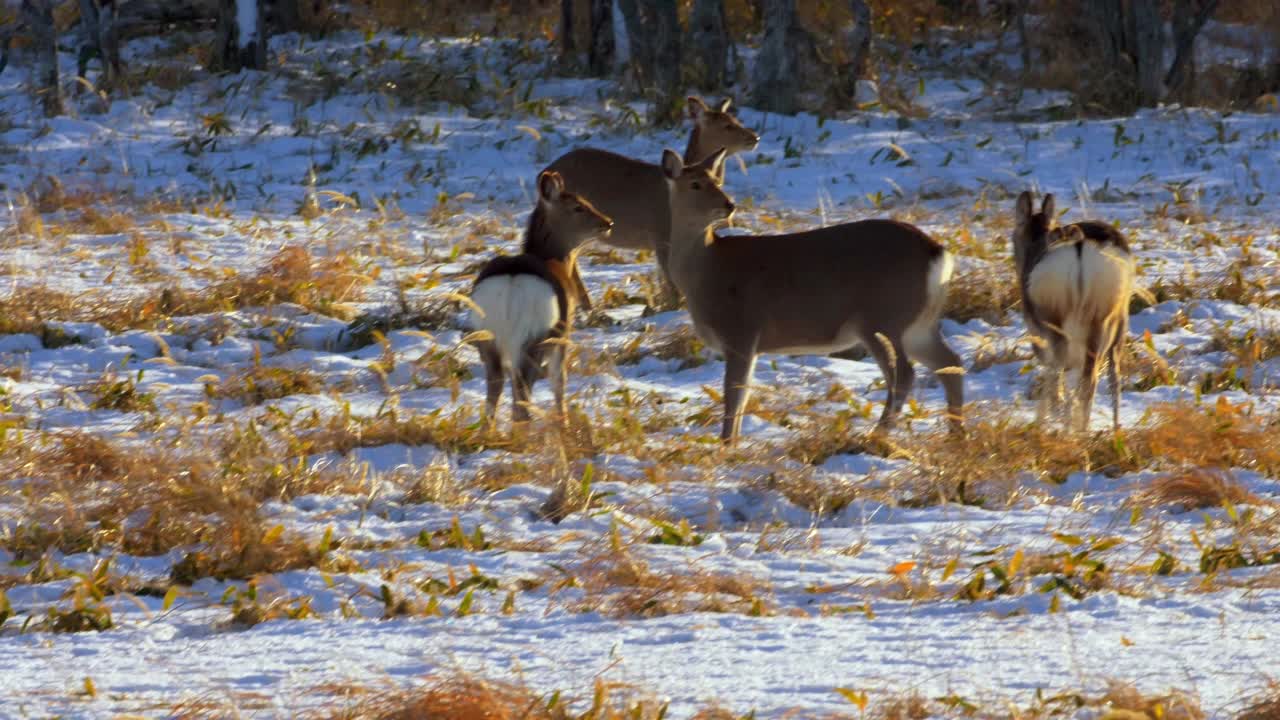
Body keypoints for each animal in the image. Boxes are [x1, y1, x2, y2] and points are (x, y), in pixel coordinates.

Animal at [471, 167, 614, 425]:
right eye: (578, 206)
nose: (607, 222)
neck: (559, 260)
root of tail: (512, 282)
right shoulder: (564, 333)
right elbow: (559, 381)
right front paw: (564, 422)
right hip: (536, 337)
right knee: (522, 395)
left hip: (486, 338)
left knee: (497, 389)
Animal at [542, 94, 757, 304]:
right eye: (727, 125)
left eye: (736, 120)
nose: (754, 137)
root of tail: (545, 171)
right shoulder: (661, 235)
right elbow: (672, 284)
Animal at [660, 148, 962, 440]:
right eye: (696, 183)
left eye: (718, 180)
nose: (729, 205)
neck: (707, 270)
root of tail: (936, 251)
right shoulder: (750, 343)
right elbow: (742, 395)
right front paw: (731, 442)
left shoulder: (741, 331)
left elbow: (734, 395)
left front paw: (726, 444)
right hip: (917, 324)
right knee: (949, 363)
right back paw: (956, 434)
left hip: (882, 317)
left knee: (905, 373)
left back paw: (878, 434)